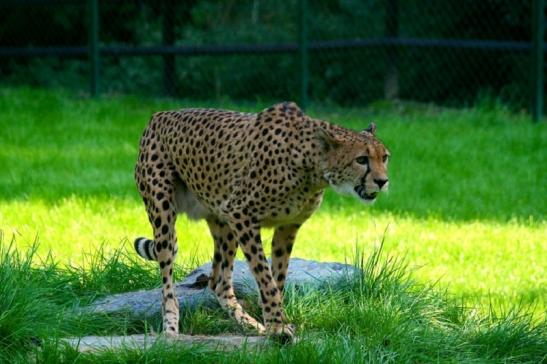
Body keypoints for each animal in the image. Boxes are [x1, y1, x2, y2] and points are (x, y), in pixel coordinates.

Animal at [133, 101, 390, 340]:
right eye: (361, 159)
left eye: (385, 157)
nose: (382, 181)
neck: (312, 166)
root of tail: (159, 115)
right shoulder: (241, 215)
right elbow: (265, 276)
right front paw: (277, 326)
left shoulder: (287, 226)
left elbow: (278, 278)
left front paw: (273, 322)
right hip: (164, 214)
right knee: (168, 279)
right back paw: (171, 327)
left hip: (222, 220)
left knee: (218, 282)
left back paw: (250, 324)